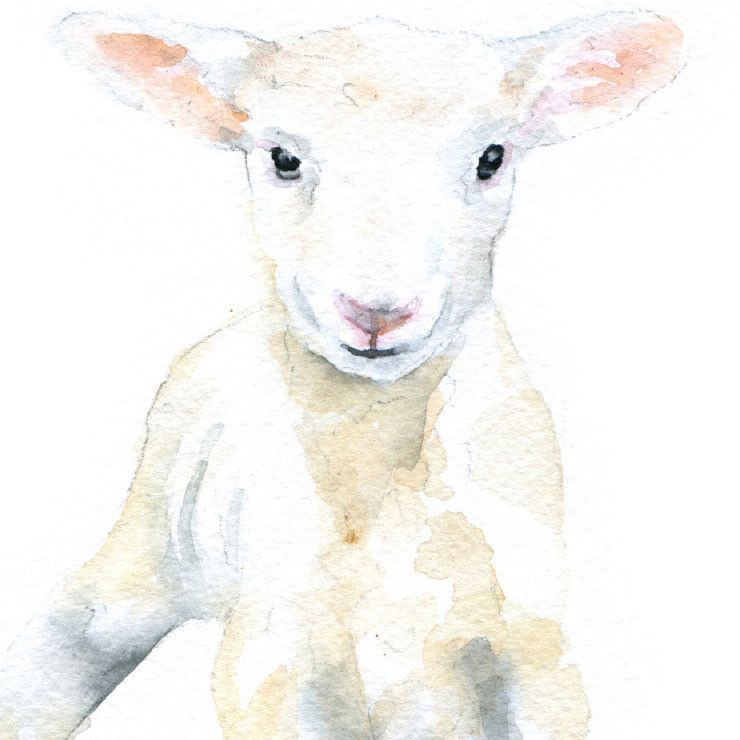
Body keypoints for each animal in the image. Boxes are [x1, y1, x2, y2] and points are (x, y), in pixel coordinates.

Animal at [0, 10, 682, 739]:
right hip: (143, 546)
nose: (377, 313)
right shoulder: (273, 651)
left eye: (492, 157)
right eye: (282, 158)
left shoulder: (534, 642)